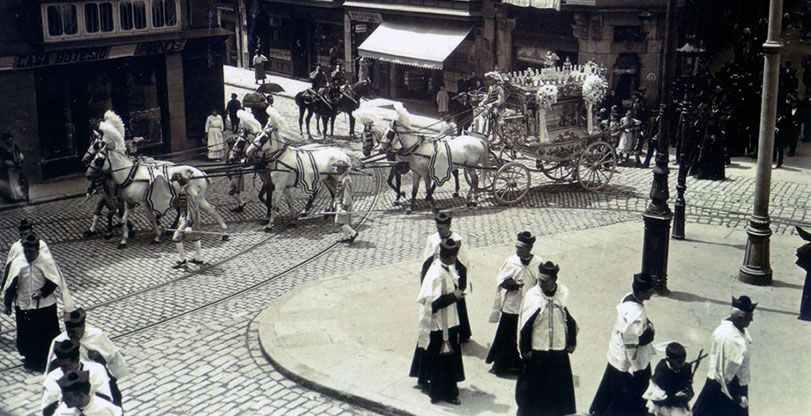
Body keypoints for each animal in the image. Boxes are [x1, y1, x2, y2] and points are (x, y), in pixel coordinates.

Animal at [87, 121, 227, 250]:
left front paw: (157, 236)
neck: (130, 174)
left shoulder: (144, 203)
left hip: (198, 198)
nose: (88, 174)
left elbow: (151, 218)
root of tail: (200, 172)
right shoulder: (129, 203)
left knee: (212, 209)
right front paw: (123, 240)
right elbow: (123, 220)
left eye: (98, 160)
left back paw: (224, 232)